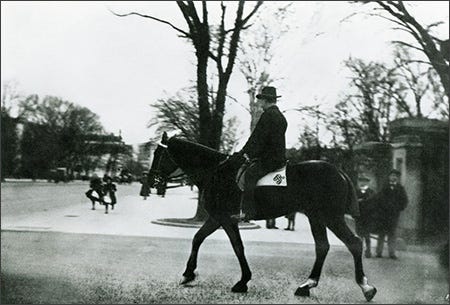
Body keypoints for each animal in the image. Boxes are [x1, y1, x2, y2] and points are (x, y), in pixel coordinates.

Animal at [150, 137, 376, 300]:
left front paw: (242, 281)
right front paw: (188, 273)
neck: (216, 171)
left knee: (354, 243)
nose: (152, 180)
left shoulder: (224, 218)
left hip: (331, 217)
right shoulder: (217, 218)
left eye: (158, 154)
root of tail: (339, 171)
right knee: (322, 246)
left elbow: (236, 246)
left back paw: (366, 287)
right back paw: (307, 285)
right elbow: (198, 238)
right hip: (316, 217)